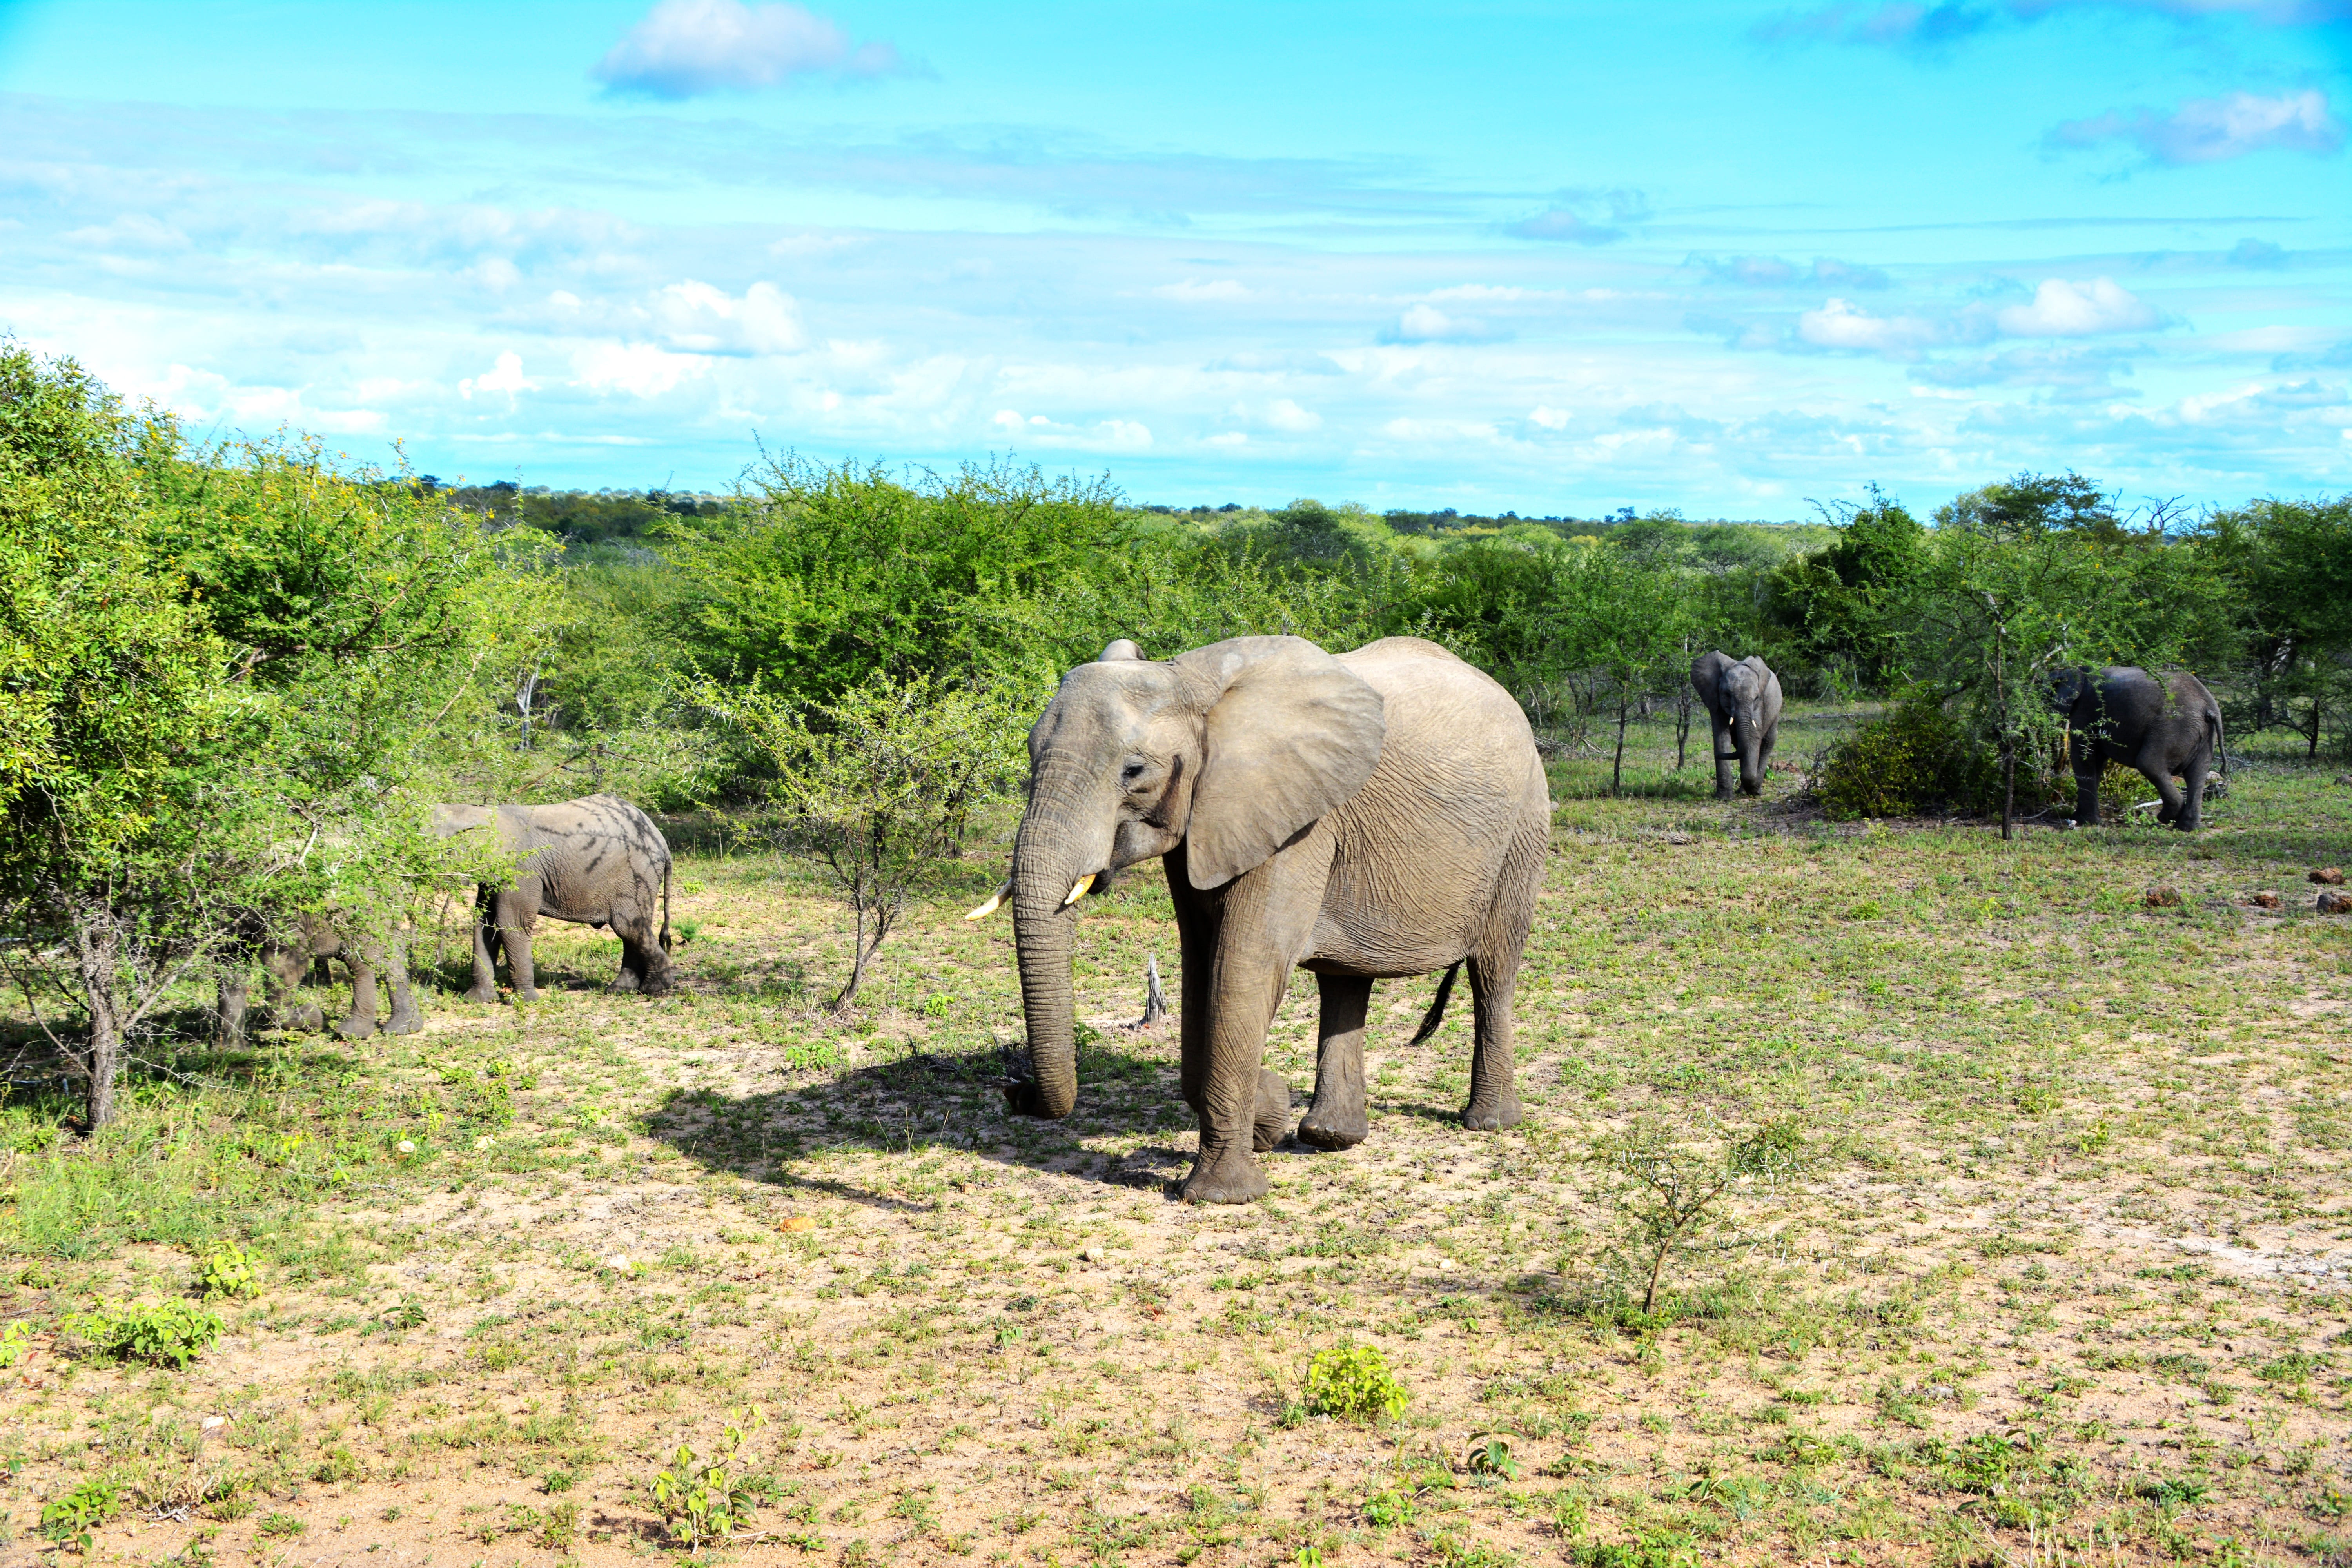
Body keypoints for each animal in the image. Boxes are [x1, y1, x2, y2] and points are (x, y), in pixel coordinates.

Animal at [430, 793, 675, 1001]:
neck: (477, 811)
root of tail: (661, 840)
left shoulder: (522, 870)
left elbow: (513, 923)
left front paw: (526, 1002)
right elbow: (485, 925)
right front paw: (478, 1000)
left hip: (637, 874)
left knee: (627, 926)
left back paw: (656, 987)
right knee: (631, 930)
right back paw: (620, 990)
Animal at [988, 634, 1551, 1205]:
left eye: (1134, 772)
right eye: (1031, 752)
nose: (1017, 1089)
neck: (1189, 679)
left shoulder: (1296, 822)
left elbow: (1243, 969)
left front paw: (1223, 1195)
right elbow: (1200, 962)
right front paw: (1267, 1114)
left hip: (1525, 826)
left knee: (1493, 969)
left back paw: (1489, 1123)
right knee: (1345, 981)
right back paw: (1330, 1137)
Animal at [1691, 651, 1783, 799]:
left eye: (1756, 698)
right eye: (1728, 695)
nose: (1718, 755)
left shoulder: (1759, 706)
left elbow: (1753, 738)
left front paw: (1752, 790)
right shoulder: (1716, 702)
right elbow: (1722, 737)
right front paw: (1724, 798)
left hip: (1775, 712)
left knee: (1767, 743)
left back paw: (1755, 792)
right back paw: (1744, 792)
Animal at [2051, 666, 2223, 831]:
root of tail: (2209, 705)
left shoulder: (2085, 708)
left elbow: (2084, 756)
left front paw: (2084, 821)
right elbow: (2097, 761)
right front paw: (2079, 818)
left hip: (2173, 726)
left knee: (2149, 765)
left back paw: (2166, 818)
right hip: (2205, 734)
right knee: (2197, 775)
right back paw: (2187, 828)